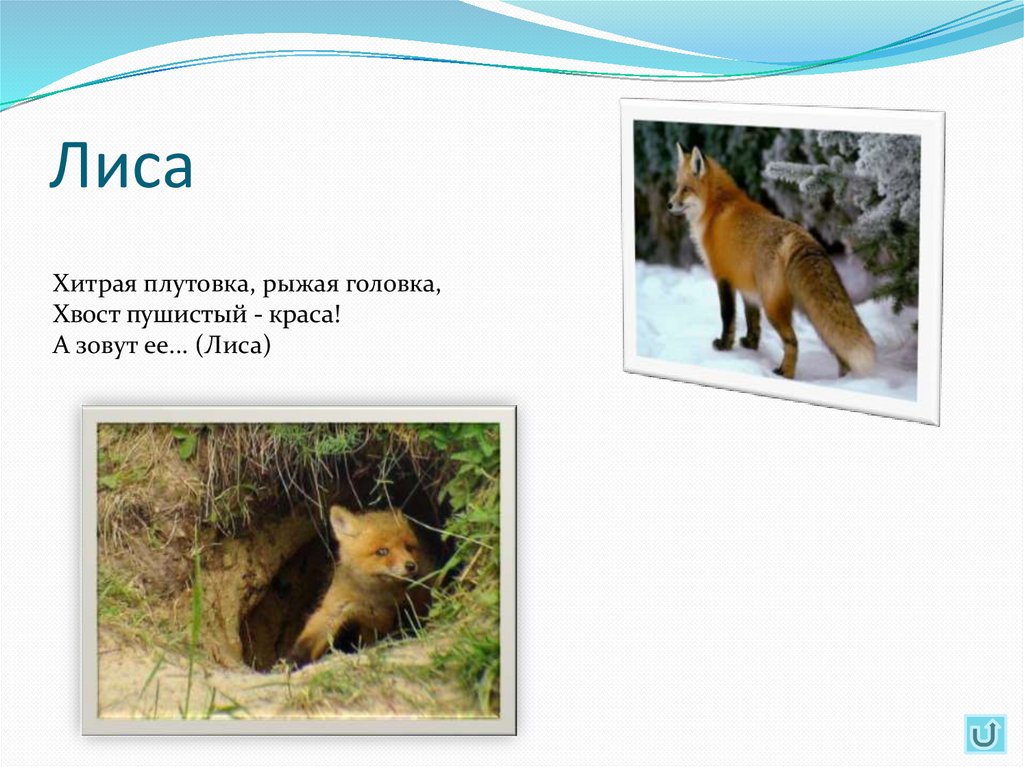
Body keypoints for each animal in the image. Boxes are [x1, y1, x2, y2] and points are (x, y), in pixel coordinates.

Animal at [285, 505, 433, 667]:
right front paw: (291, 663)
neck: (375, 598)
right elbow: (309, 641)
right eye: (382, 551)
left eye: (408, 547)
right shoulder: (336, 608)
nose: (411, 566)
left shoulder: (404, 606)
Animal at [667, 144, 875, 379]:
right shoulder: (746, 286)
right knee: (836, 344)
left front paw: (724, 346)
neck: (715, 211)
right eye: (677, 187)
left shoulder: (724, 277)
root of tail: (801, 236)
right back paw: (845, 380)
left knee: (793, 341)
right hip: (808, 309)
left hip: (773, 306)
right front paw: (750, 345)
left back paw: (786, 373)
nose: (668, 205)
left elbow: (727, 317)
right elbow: (752, 321)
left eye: (686, 189)